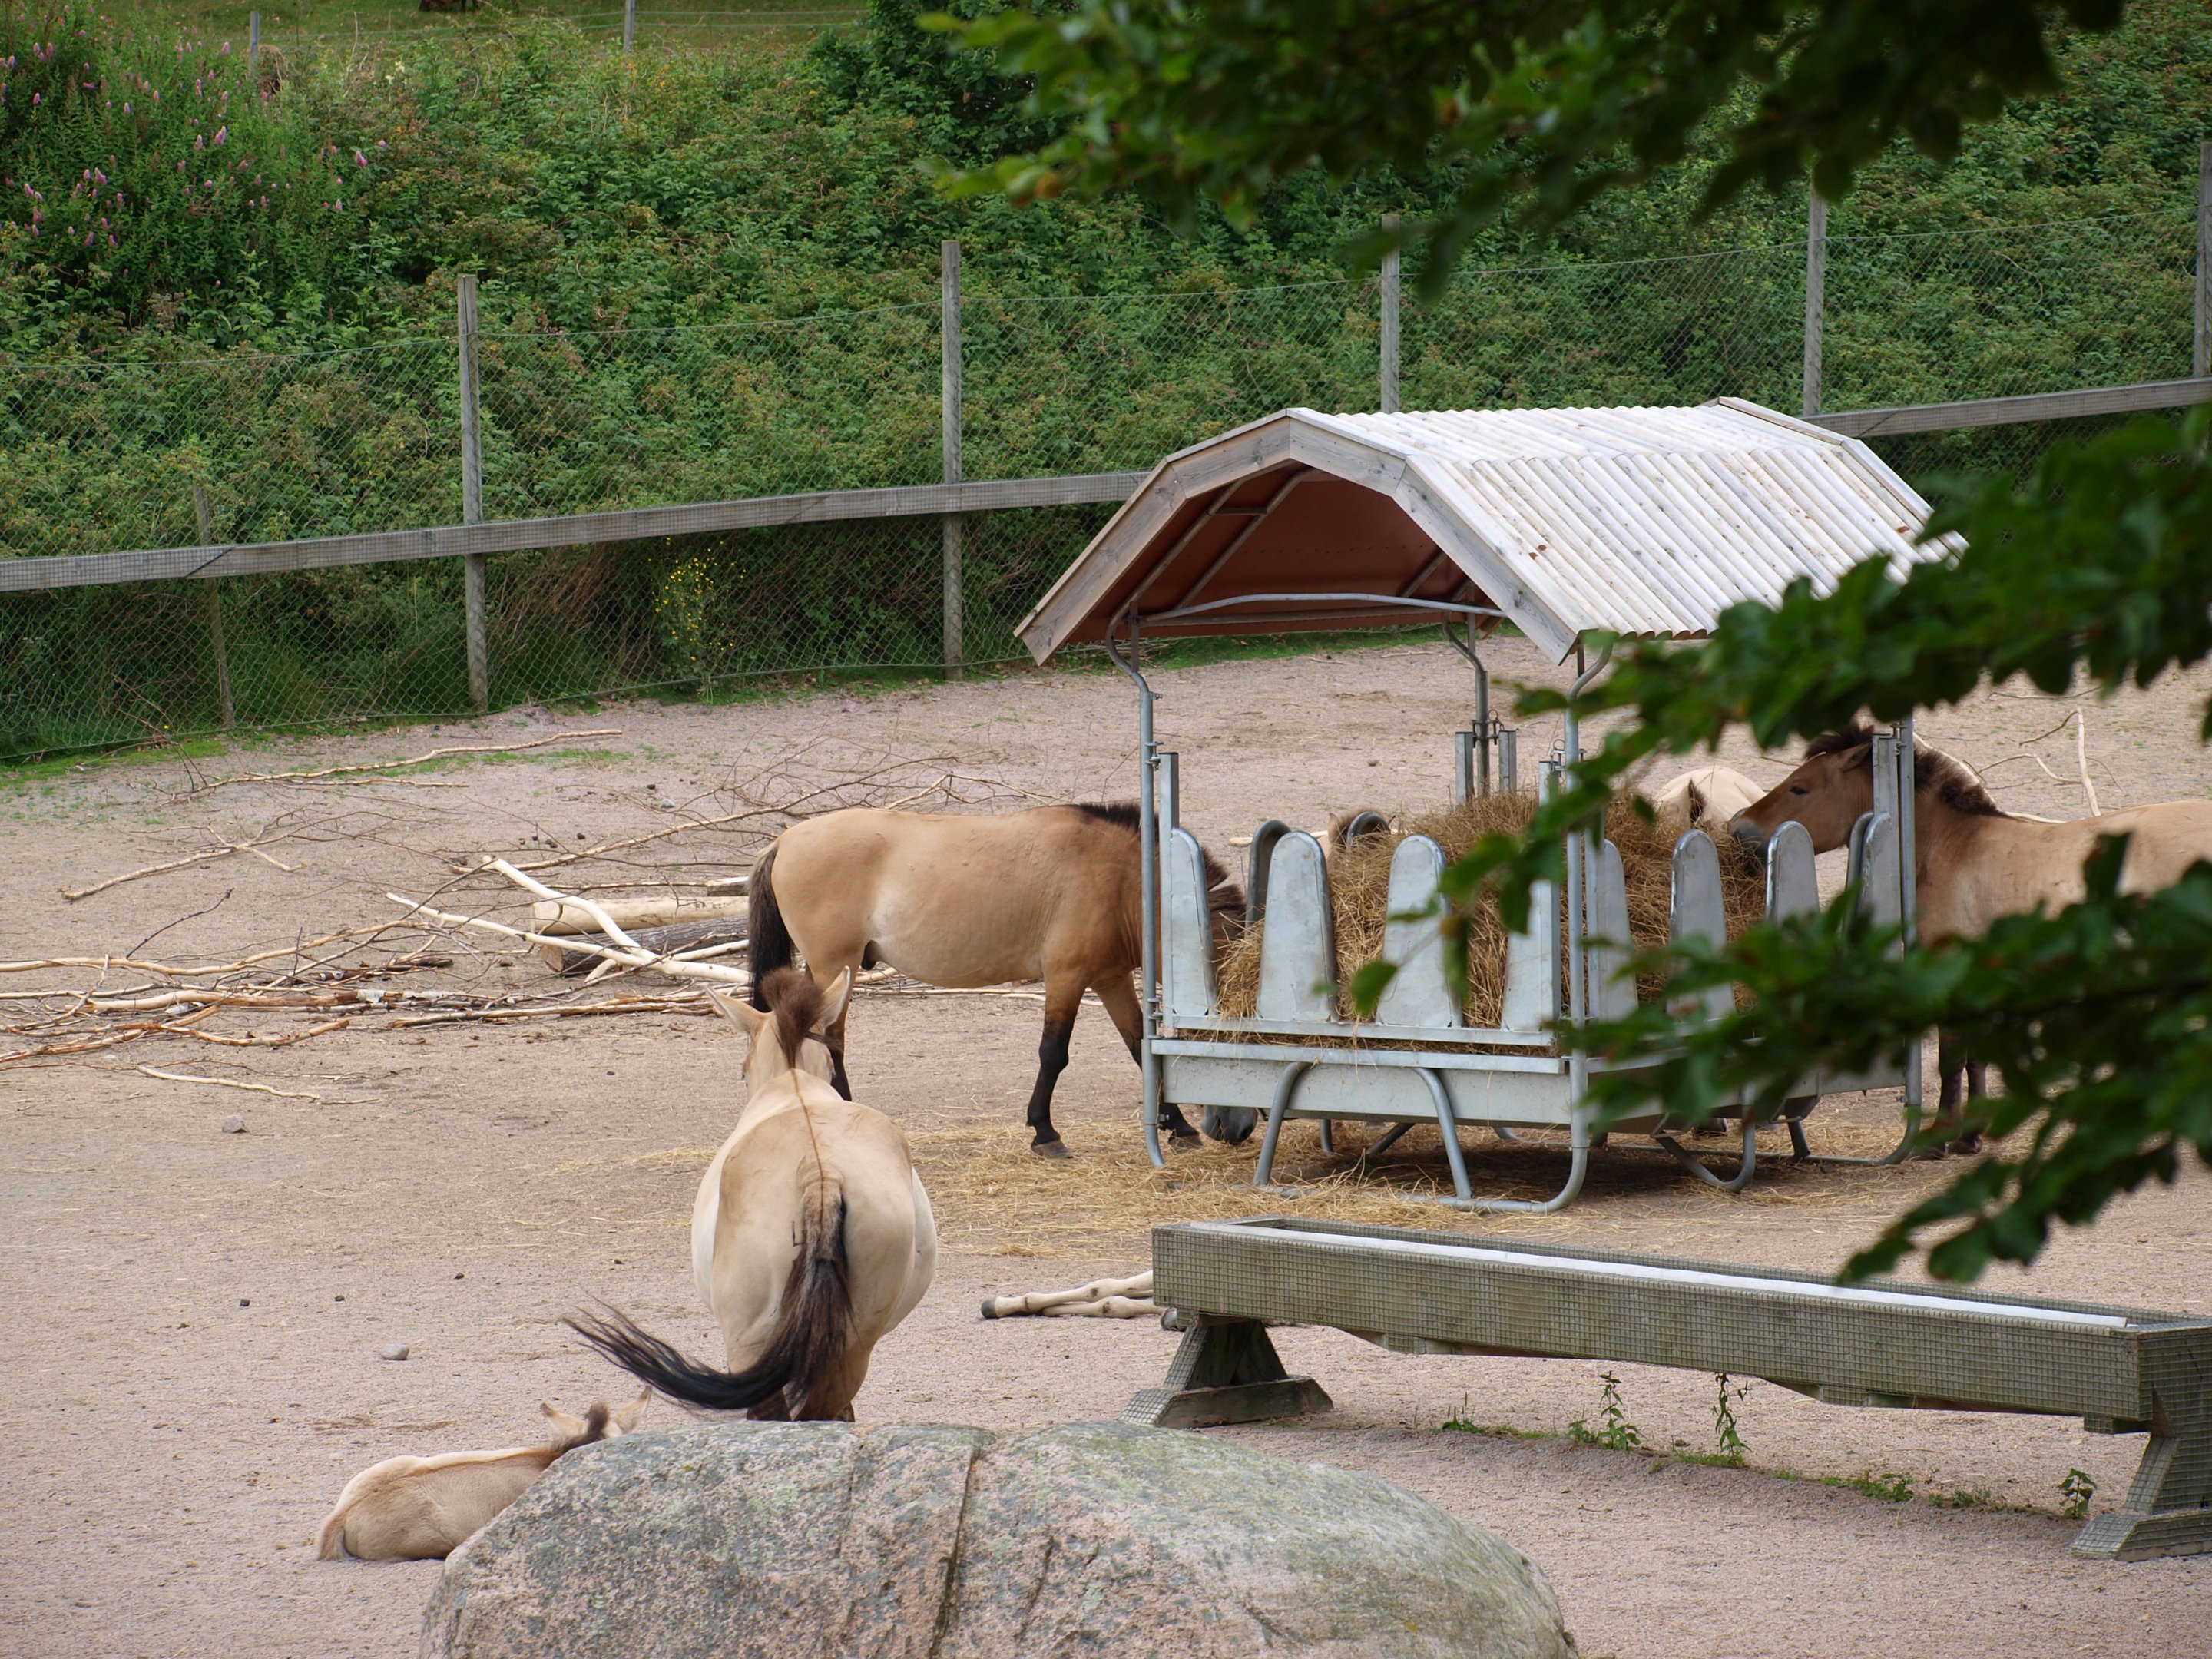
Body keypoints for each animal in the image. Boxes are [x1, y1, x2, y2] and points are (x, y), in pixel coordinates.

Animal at [748, 802, 1244, 1158]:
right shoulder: (1067, 977)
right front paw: (1045, 1132)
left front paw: (1178, 1126)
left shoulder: (1111, 978)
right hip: (837, 967)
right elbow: (1053, 1054)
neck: (1121, 880)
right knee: (831, 1041)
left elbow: (1141, 1049)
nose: (1232, 1129)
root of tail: (785, 840)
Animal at [1730, 722, 2212, 1149]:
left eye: (1799, 788)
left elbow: (1951, 1057)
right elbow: (1977, 1057)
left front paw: (1942, 1136)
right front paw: (1972, 1134)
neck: (1951, 846)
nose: (1739, 828)